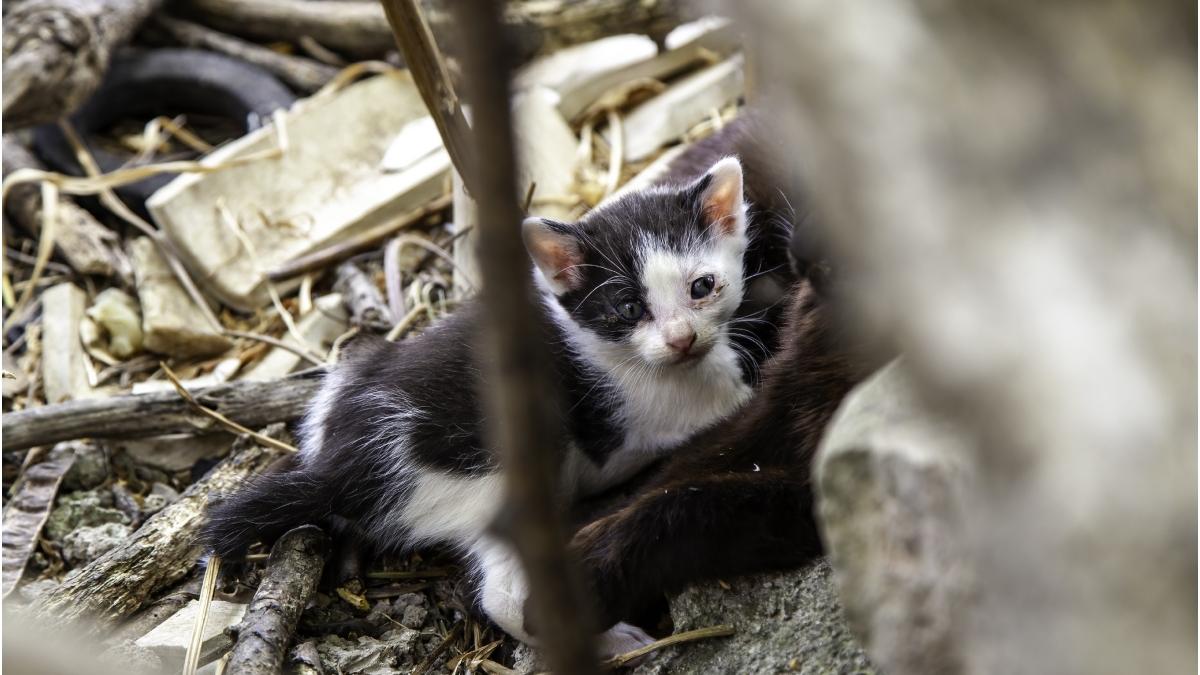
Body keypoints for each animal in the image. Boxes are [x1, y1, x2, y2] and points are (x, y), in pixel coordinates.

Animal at [201, 144, 792, 648]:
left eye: (702, 286)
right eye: (628, 308)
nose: (681, 339)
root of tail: (342, 467)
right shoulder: (657, 403)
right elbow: (733, 401)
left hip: (350, 379)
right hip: (491, 480)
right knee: (502, 592)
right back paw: (609, 641)